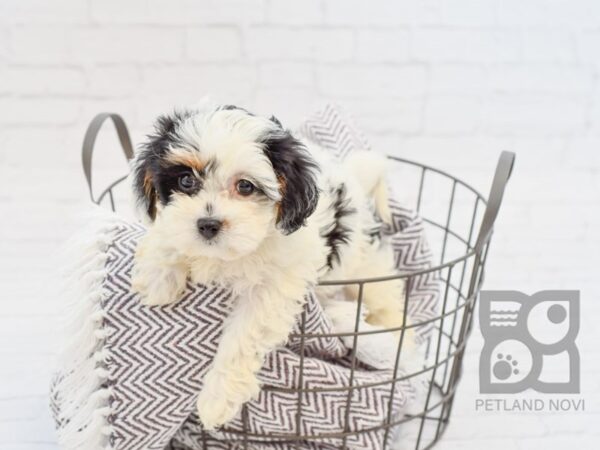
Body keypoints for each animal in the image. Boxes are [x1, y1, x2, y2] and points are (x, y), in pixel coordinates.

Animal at [131, 104, 410, 428]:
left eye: (245, 186)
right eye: (186, 181)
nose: (208, 224)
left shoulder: (276, 283)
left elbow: (245, 333)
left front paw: (217, 397)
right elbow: (167, 229)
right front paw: (158, 275)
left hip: (367, 268)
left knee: (387, 305)